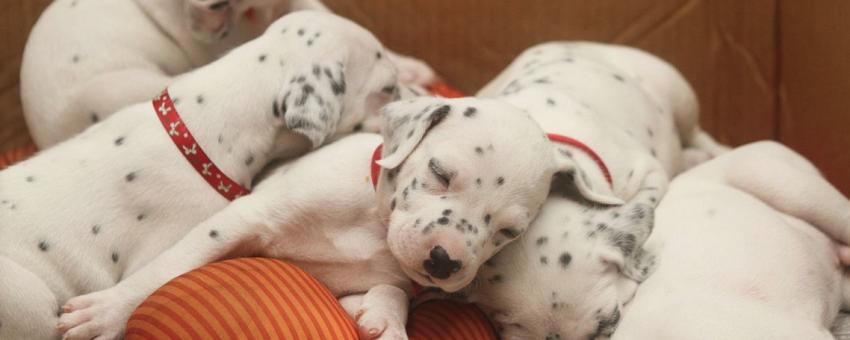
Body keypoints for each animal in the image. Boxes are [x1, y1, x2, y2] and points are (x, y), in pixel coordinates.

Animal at [54, 96, 584, 340]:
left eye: (510, 231)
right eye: (439, 172)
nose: (443, 261)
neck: (371, 227)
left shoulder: (351, 287)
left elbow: (390, 291)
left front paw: (386, 319)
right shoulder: (240, 220)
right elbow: (165, 270)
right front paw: (107, 312)